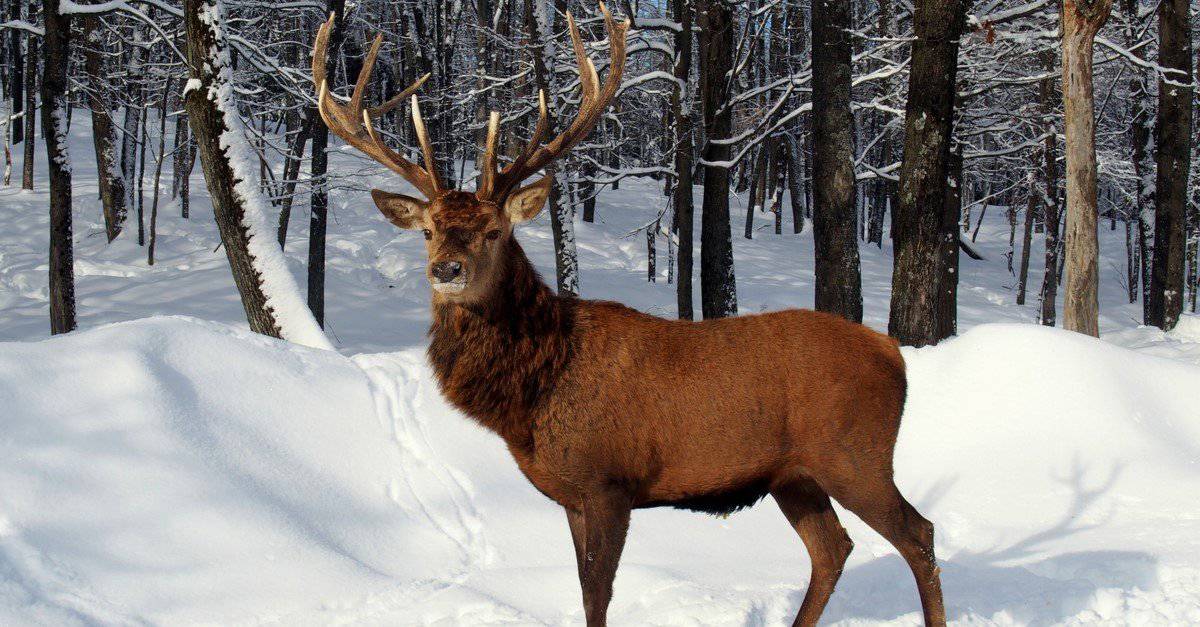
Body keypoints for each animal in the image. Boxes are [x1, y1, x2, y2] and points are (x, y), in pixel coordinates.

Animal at [312, 6, 945, 624]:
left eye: (494, 231)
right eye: (428, 231)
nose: (447, 269)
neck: (535, 391)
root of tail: (895, 355)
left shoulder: (608, 481)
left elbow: (597, 594)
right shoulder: (571, 495)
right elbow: (583, 588)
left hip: (855, 454)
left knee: (919, 534)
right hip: (795, 476)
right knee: (834, 548)